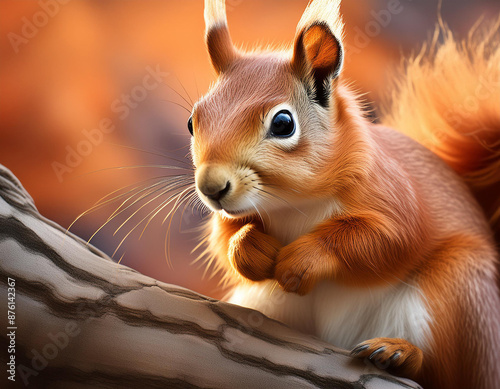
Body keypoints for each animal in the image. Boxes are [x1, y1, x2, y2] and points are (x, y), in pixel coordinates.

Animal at [188, 1, 500, 386]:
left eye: (283, 124)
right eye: (193, 121)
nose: (211, 188)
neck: (292, 203)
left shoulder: (395, 193)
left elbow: (383, 239)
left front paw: (302, 259)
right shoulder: (234, 215)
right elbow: (223, 239)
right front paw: (251, 248)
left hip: (459, 291)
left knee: (442, 372)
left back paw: (399, 353)